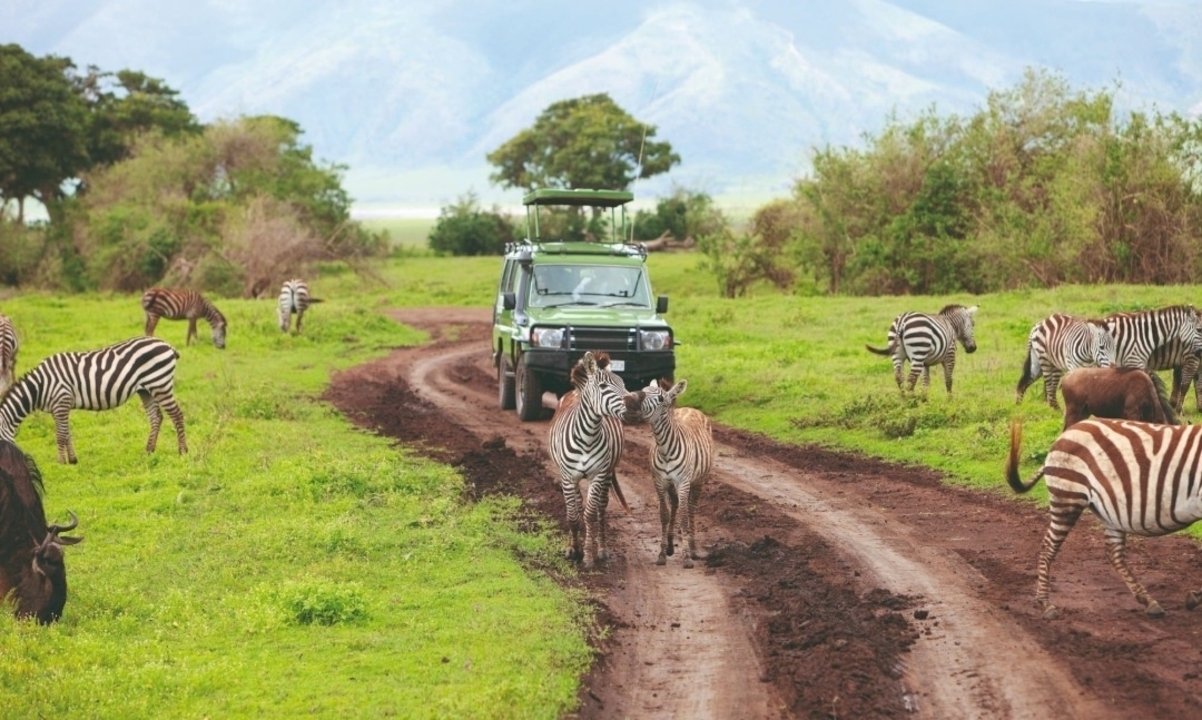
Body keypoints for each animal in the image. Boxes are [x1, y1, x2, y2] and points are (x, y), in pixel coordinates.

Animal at [0, 336, 187, 464]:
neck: (40, 386)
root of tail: (166, 344)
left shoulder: (61, 401)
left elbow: (60, 435)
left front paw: (60, 462)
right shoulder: (59, 408)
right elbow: (67, 433)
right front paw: (72, 460)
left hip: (160, 383)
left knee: (177, 414)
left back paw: (182, 451)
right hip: (146, 389)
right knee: (156, 417)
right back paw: (149, 450)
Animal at [547, 351, 631, 569]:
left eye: (623, 383)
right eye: (603, 386)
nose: (634, 404)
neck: (587, 436)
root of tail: (575, 392)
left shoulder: (598, 475)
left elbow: (590, 514)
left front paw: (587, 556)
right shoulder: (567, 477)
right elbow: (573, 515)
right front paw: (573, 550)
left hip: (608, 473)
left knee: (601, 508)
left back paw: (601, 549)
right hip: (572, 478)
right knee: (576, 505)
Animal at [630, 378, 714, 568]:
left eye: (661, 398)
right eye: (643, 390)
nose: (632, 402)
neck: (665, 448)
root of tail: (690, 408)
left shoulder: (683, 482)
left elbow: (684, 516)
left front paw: (687, 557)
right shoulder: (659, 482)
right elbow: (664, 514)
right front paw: (662, 553)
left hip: (698, 480)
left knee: (690, 509)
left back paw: (693, 548)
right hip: (672, 484)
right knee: (675, 504)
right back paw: (670, 545)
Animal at [1007, 418, 1202, 619]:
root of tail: (1067, 433)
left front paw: (1194, 597)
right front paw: (1195, 597)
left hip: (1110, 512)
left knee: (1113, 553)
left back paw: (1149, 601)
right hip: (1068, 497)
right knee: (1048, 547)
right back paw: (1045, 604)